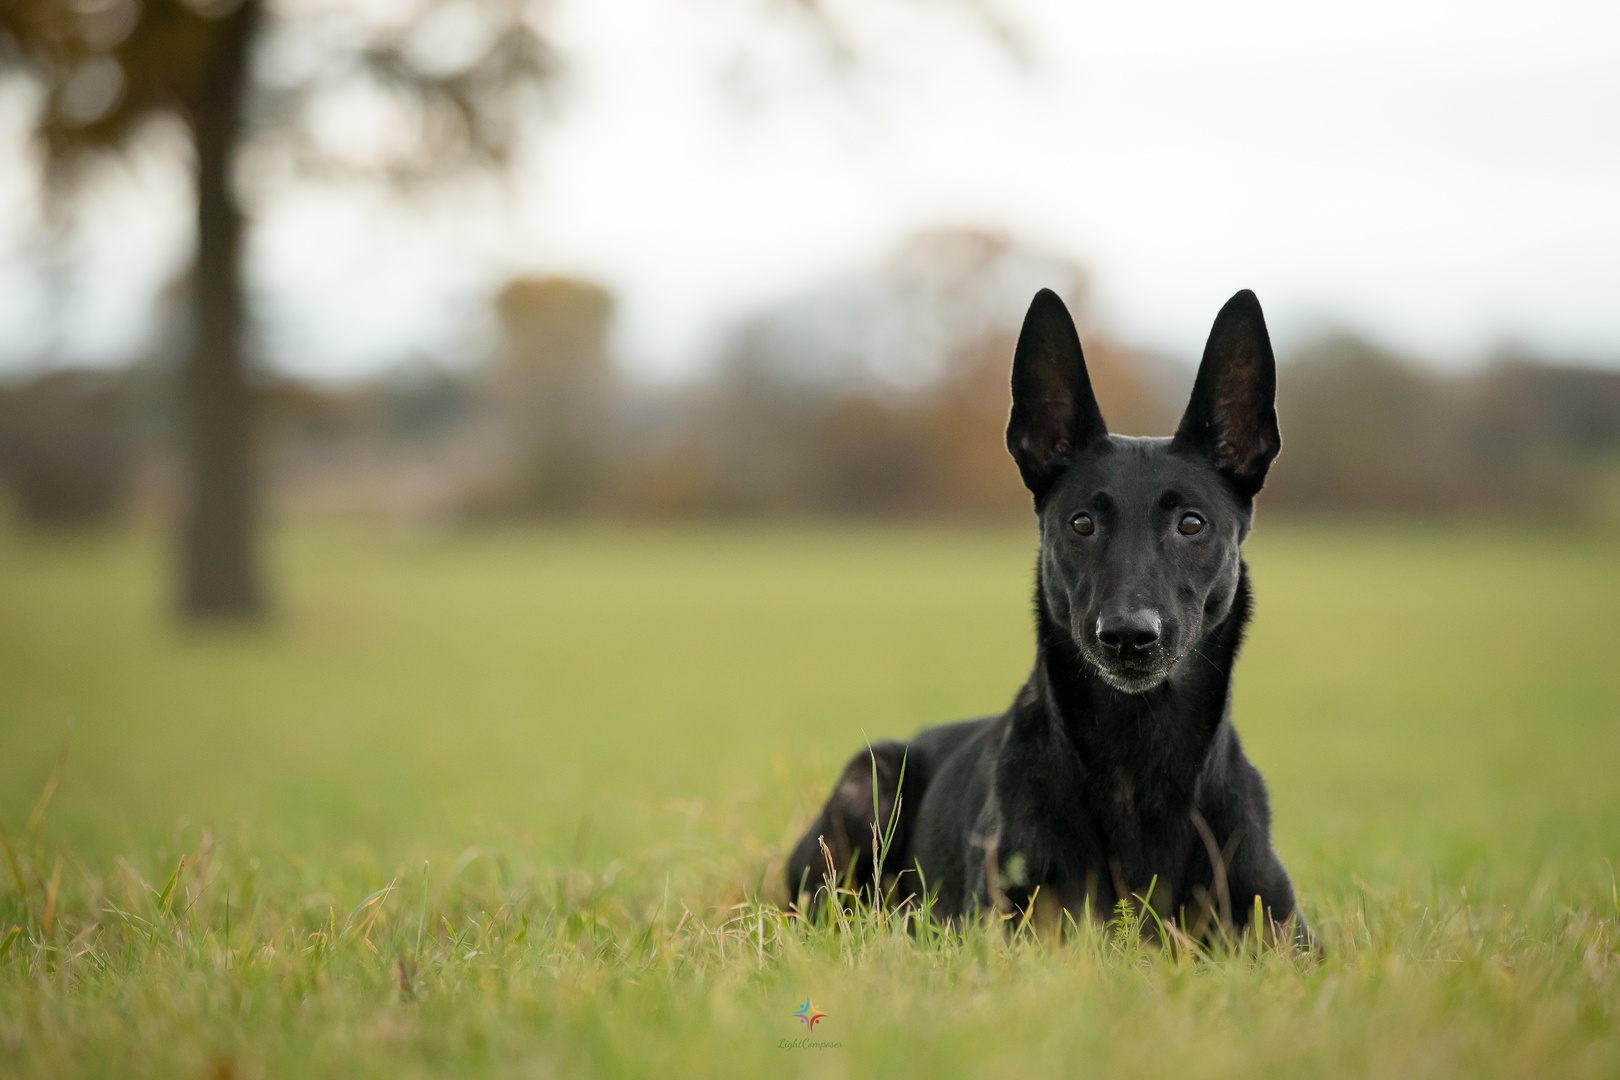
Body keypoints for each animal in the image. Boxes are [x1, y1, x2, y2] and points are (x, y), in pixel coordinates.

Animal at [784, 291, 1302, 939]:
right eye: (1082, 522)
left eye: (1191, 523)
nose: (1127, 637)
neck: (1137, 760)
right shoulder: (1004, 927)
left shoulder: (1285, 934)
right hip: (868, 786)